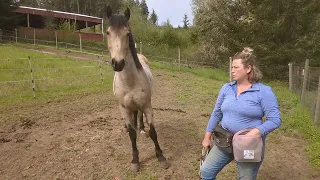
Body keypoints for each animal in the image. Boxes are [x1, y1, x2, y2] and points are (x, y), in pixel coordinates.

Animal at [105, 5, 170, 172]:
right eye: (108, 32)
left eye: (127, 33)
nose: (118, 63)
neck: (130, 81)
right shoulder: (124, 108)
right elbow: (132, 136)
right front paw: (135, 161)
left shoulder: (147, 106)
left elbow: (153, 132)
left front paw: (161, 157)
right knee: (133, 119)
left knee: (139, 116)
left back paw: (140, 128)